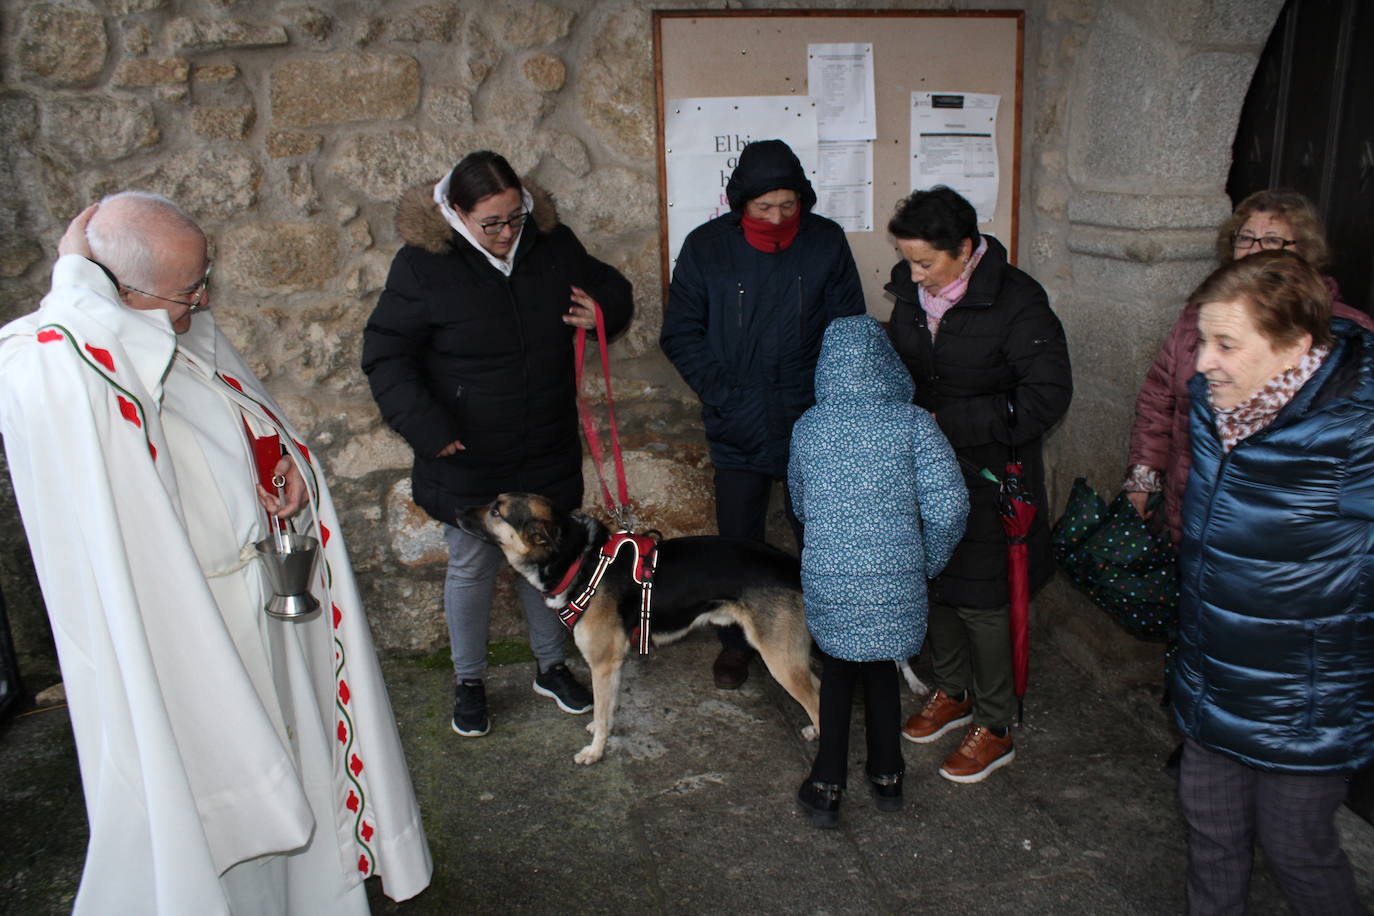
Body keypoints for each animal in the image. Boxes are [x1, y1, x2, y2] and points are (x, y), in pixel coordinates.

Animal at [467, 494, 818, 769]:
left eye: (497, 510)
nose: (459, 510)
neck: (580, 559)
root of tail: (792, 565)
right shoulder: (613, 663)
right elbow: (607, 708)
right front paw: (601, 730)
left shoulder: (602, 663)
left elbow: (603, 709)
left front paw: (595, 752)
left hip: (780, 658)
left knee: (815, 700)